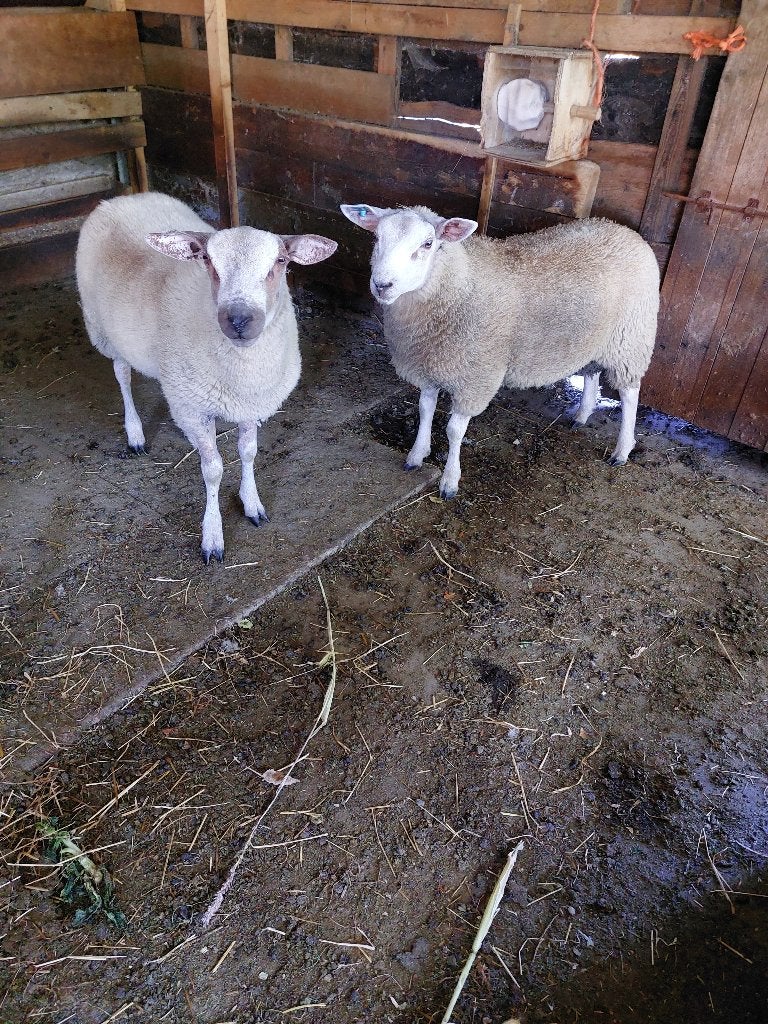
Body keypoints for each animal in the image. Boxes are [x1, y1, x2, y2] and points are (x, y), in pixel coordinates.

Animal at [76, 192, 337, 563]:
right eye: (209, 262)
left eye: (281, 261)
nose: (239, 319)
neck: (242, 369)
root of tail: (121, 198)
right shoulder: (196, 408)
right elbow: (213, 471)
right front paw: (212, 535)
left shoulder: (249, 403)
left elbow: (248, 452)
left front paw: (251, 503)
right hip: (104, 331)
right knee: (122, 375)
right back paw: (135, 432)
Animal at [340, 203, 659, 499]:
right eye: (377, 237)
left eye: (428, 244)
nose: (382, 285)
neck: (458, 284)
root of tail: (625, 231)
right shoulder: (429, 366)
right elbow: (424, 410)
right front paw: (417, 455)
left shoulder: (474, 377)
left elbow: (454, 431)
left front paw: (450, 481)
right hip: (593, 338)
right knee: (591, 372)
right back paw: (582, 415)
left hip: (630, 339)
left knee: (629, 394)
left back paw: (622, 450)